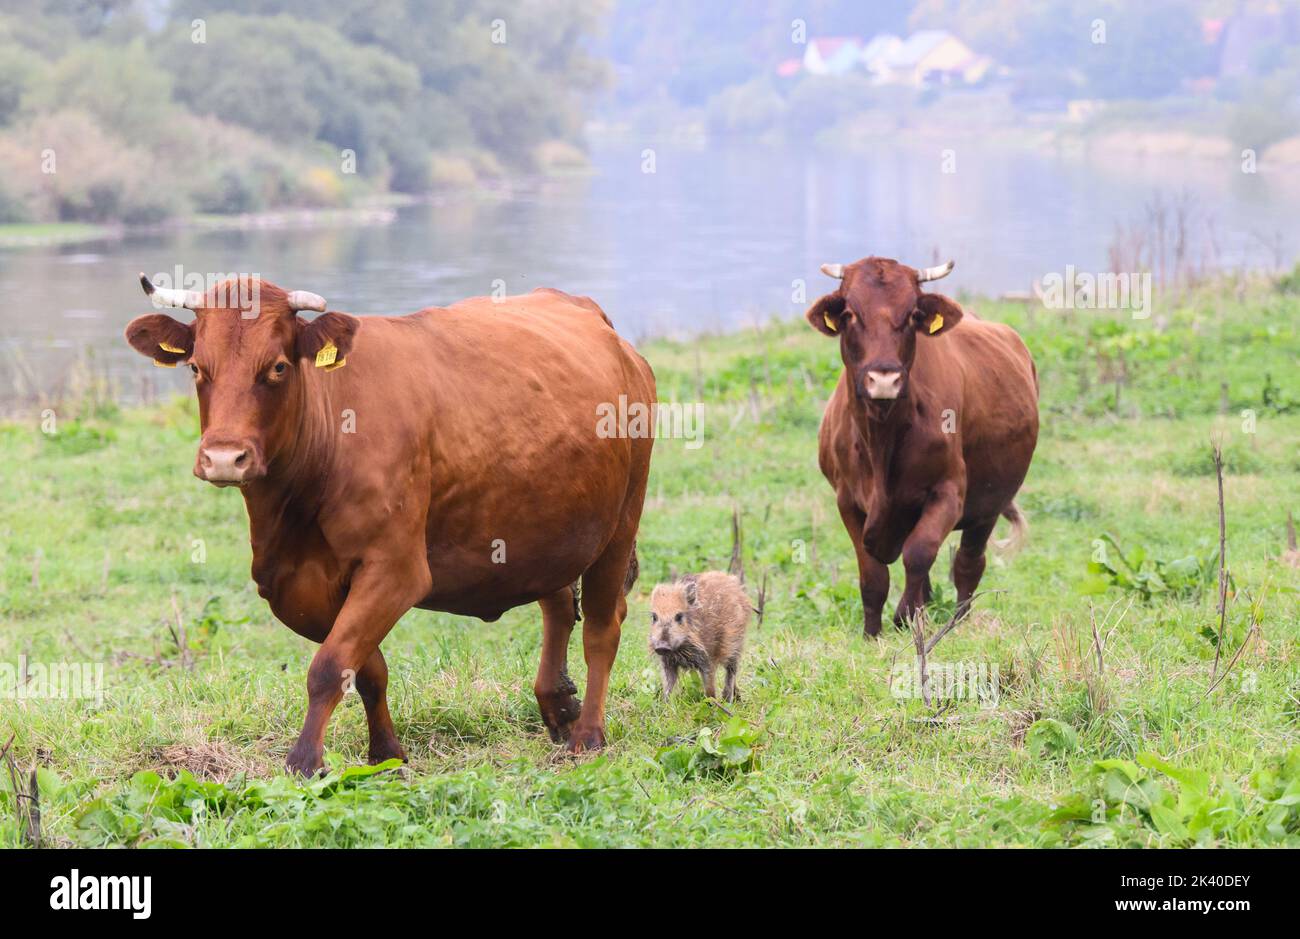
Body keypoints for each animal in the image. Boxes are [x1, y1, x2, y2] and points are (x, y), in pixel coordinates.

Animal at [125, 274, 655, 775]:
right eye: (197, 367)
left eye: (276, 366)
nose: (223, 458)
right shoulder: (292, 582)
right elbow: (365, 669)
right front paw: (386, 754)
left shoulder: (396, 569)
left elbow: (329, 665)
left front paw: (305, 761)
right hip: (547, 526)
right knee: (560, 602)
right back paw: (557, 703)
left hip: (622, 521)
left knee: (602, 627)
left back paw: (587, 734)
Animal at [805, 256, 1038, 637]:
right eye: (850, 313)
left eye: (913, 313)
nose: (884, 379)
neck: (881, 439)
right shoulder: (847, 499)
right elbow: (872, 574)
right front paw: (872, 633)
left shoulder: (949, 491)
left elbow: (919, 553)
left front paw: (906, 617)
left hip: (989, 504)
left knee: (968, 563)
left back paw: (957, 621)